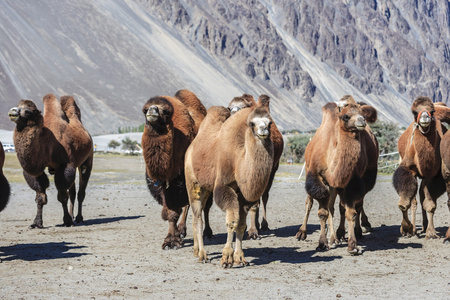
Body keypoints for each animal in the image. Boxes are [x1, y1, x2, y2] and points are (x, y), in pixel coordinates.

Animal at [8, 94, 93, 227]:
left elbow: (62, 196)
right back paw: (72, 216)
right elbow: (40, 196)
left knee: (81, 192)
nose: (13, 111)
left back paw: (78, 218)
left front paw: (66, 221)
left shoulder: (64, 166)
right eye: (17, 106)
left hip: (87, 159)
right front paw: (37, 223)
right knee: (73, 193)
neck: (47, 143)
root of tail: (87, 133)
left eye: (27, 111)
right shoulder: (38, 171)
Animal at [142, 90, 207, 250]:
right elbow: (168, 212)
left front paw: (172, 241)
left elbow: (174, 211)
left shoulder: (179, 183)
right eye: (145, 110)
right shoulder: (158, 184)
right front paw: (171, 238)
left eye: (165, 111)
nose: (152, 110)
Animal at [185, 96, 274, 268]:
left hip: (206, 187)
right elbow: (232, 221)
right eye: (252, 123)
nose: (263, 130)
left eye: (270, 123)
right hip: (193, 183)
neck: (239, 160)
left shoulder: (242, 195)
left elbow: (241, 225)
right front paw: (227, 257)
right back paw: (203, 254)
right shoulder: (224, 186)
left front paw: (240, 257)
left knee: (197, 214)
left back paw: (196, 250)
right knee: (198, 217)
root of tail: (190, 148)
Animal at [296, 95, 380, 253]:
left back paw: (343, 234)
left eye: (362, 113)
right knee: (310, 203)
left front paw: (352, 245)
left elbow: (350, 212)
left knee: (343, 206)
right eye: (346, 116)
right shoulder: (316, 177)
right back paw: (303, 233)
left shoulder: (351, 181)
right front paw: (322, 243)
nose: (362, 121)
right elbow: (323, 211)